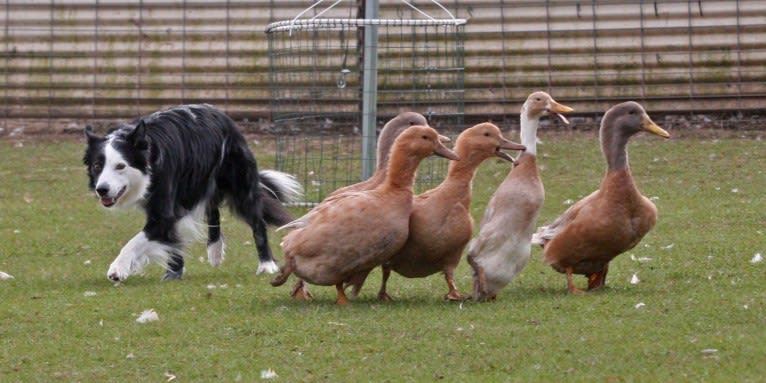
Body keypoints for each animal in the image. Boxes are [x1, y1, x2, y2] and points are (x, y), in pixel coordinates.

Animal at [82, 104, 302, 282]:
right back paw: (214, 250)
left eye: (120, 166)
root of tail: (222, 116)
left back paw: (266, 264)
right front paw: (174, 272)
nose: (102, 190)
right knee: (213, 209)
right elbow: (173, 238)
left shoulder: (163, 210)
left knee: (257, 222)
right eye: (97, 166)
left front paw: (117, 268)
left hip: (239, 183)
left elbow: (136, 240)